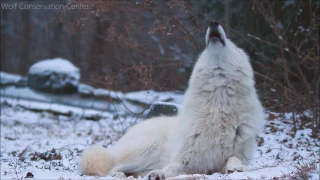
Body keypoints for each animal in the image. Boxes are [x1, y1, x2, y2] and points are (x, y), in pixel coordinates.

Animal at [79, 21, 264, 179]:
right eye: (204, 49)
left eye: (232, 44)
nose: (213, 22)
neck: (217, 108)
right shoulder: (183, 160)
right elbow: (170, 167)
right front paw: (159, 174)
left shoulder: (236, 155)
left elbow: (234, 159)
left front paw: (236, 167)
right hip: (147, 147)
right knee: (111, 168)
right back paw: (121, 174)